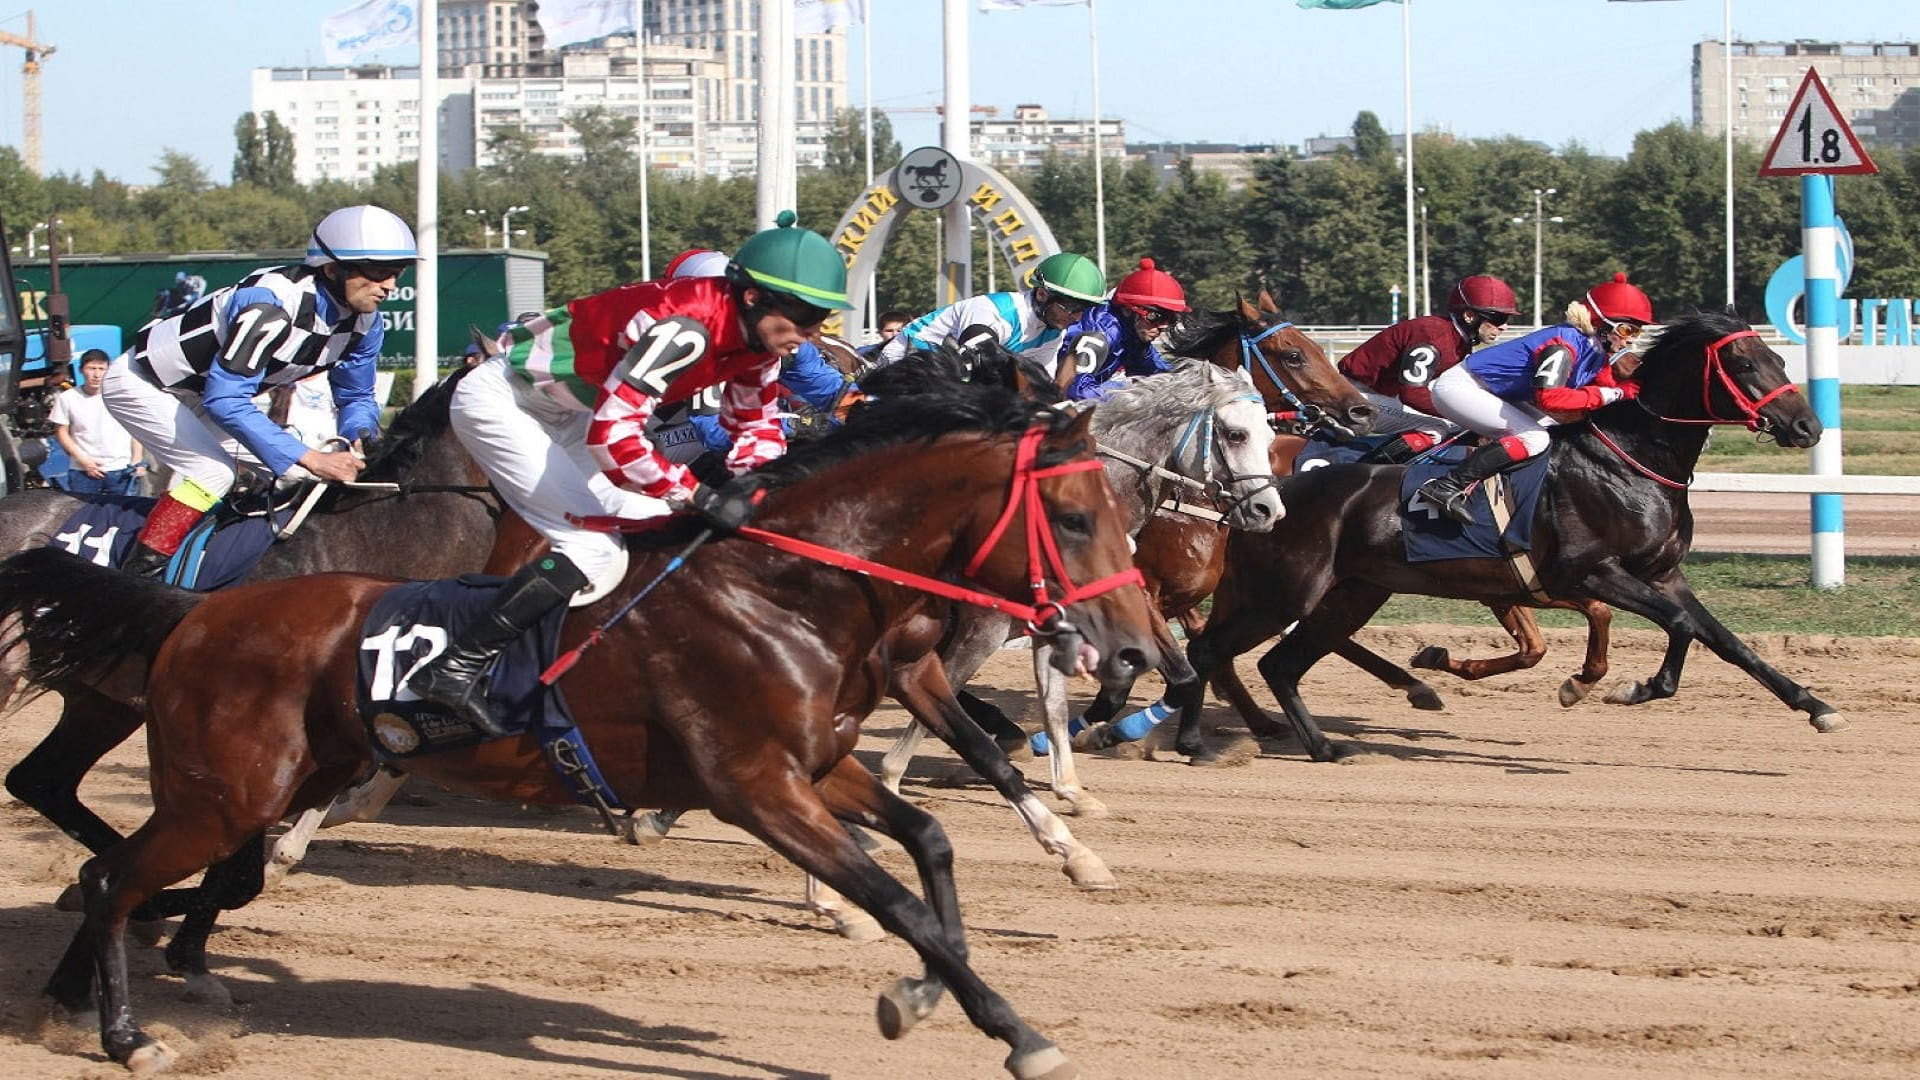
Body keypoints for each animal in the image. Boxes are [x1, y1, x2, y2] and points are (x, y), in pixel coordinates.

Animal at [0, 376, 1158, 1079]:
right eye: (1072, 517)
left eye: (1119, 510)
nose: (1142, 650)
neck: (782, 591)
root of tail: (193, 610)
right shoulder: (755, 786)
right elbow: (896, 892)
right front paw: (1003, 1023)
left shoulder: (819, 764)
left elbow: (931, 842)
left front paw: (947, 993)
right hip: (223, 791)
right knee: (116, 872)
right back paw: (126, 1032)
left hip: (247, 780)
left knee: (115, 862)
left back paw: (90, 999)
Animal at [1167, 311, 1835, 763]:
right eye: (1744, 365)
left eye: (1779, 362)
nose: (1808, 426)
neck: (1630, 462)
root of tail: (1263, 494)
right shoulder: (1591, 572)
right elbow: (1680, 626)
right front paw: (1636, 687)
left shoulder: (1661, 574)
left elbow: (1723, 639)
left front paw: (1815, 705)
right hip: (1285, 591)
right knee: (1212, 649)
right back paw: (1194, 740)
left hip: (1350, 594)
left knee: (1278, 662)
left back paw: (1328, 743)